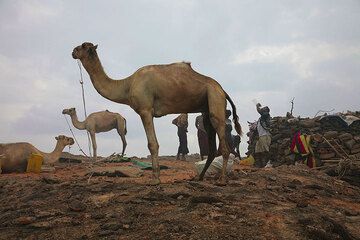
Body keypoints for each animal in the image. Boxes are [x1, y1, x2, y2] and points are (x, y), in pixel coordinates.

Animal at [71, 42, 242, 185]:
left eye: (81, 46)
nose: (72, 51)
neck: (127, 85)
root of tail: (222, 90)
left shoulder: (145, 110)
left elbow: (152, 144)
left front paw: (155, 179)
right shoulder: (148, 111)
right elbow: (153, 143)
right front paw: (156, 176)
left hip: (215, 99)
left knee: (223, 144)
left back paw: (222, 179)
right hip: (206, 109)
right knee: (212, 146)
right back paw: (199, 177)